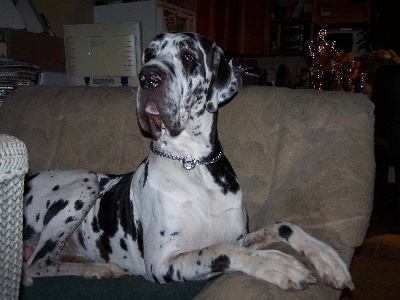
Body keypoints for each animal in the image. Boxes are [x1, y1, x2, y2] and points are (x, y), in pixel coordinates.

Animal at [22, 32, 354, 290]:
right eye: (149, 54)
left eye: (188, 55)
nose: (148, 76)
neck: (192, 164)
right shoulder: (164, 263)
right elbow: (220, 250)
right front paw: (278, 265)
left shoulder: (240, 236)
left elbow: (282, 225)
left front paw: (327, 258)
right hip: (86, 180)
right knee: (38, 263)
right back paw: (98, 268)